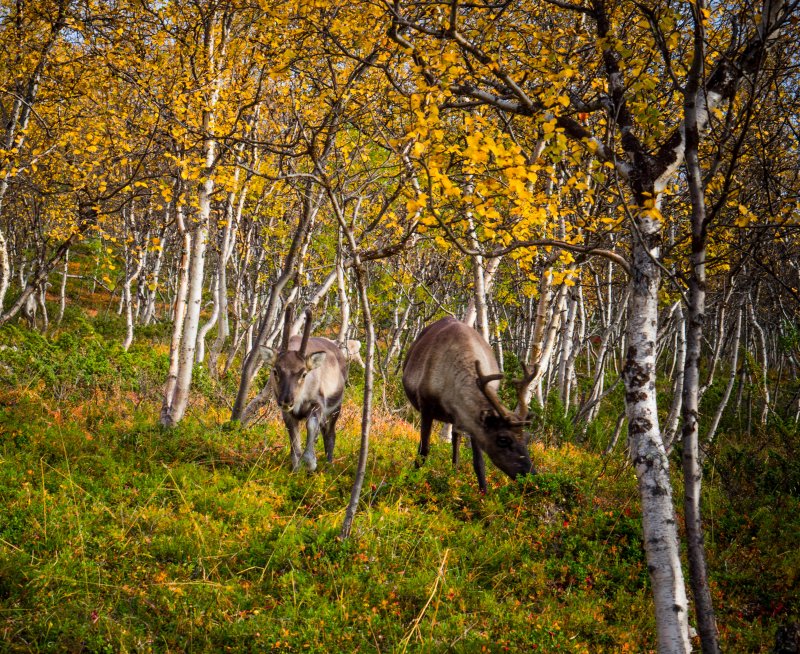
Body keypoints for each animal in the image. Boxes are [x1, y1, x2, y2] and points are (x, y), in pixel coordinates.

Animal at [260, 306, 349, 472]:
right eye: (275, 371)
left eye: (303, 373)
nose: (286, 401)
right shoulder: (288, 413)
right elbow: (294, 443)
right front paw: (295, 468)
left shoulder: (317, 404)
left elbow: (311, 426)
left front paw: (310, 461)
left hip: (336, 408)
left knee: (330, 435)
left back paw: (328, 465)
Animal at [402, 317, 535, 492]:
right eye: (503, 439)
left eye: (527, 437)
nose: (532, 475)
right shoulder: (426, 406)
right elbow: (424, 450)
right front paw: (411, 481)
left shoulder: (473, 421)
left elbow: (479, 462)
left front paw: (484, 493)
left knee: (455, 438)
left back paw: (454, 471)